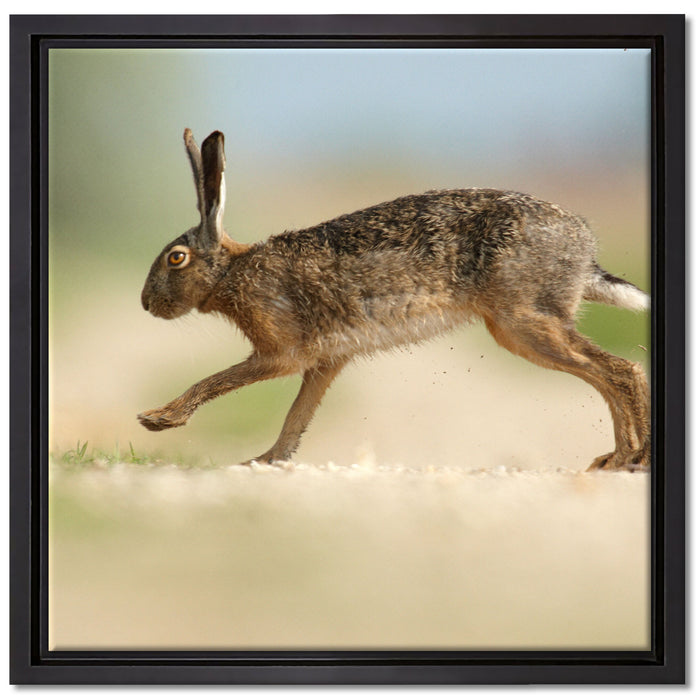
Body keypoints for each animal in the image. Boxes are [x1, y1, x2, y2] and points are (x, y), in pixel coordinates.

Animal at [139, 128, 650, 471]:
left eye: (176, 259)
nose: (146, 304)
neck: (230, 272)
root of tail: (584, 249)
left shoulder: (280, 352)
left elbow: (219, 380)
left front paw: (158, 419)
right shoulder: (326, 361)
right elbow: (297, 416)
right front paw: (264, 461)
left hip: (522, 321)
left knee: (621, 371)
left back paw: (632, 457)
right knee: (608, 375)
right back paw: (615, 457)